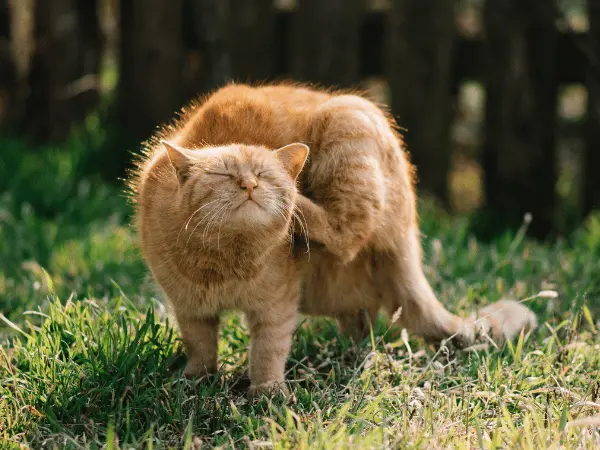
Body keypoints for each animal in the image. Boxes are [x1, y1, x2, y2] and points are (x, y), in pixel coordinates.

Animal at [127, 82, 540, 396]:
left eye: (264, 174)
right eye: (224, 174)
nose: (249, 185)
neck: (225, 263)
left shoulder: (278, 305)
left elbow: (268, 350)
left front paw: (266, 392)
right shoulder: (189, 308)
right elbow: (199, 347)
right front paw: (195, 382)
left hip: (349, 122)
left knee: (345, 234)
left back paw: (300, 205)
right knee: (361, 323)